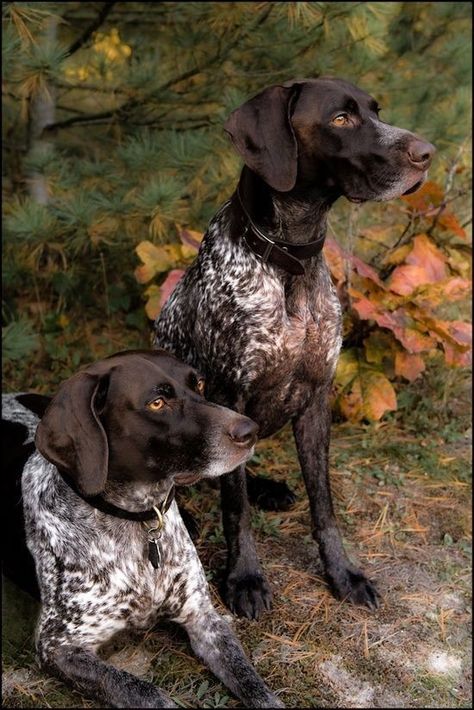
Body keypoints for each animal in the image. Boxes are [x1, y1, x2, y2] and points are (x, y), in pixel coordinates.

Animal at [1, 352, 284, 710]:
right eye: (157, 403)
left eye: (199, 384)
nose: (250, 430)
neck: (139, 519)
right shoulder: (58, 645)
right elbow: (145, 692)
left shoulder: (203, 617)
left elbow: (252, 681)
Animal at [154, 78, 436, 620]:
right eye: (341, 119)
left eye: (376, 111)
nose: (427, 153)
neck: (290, 262)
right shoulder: (229, 395)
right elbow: (235, 508)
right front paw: (244, 578)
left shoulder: (316, 400)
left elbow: (322, 505)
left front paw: (342, 573)